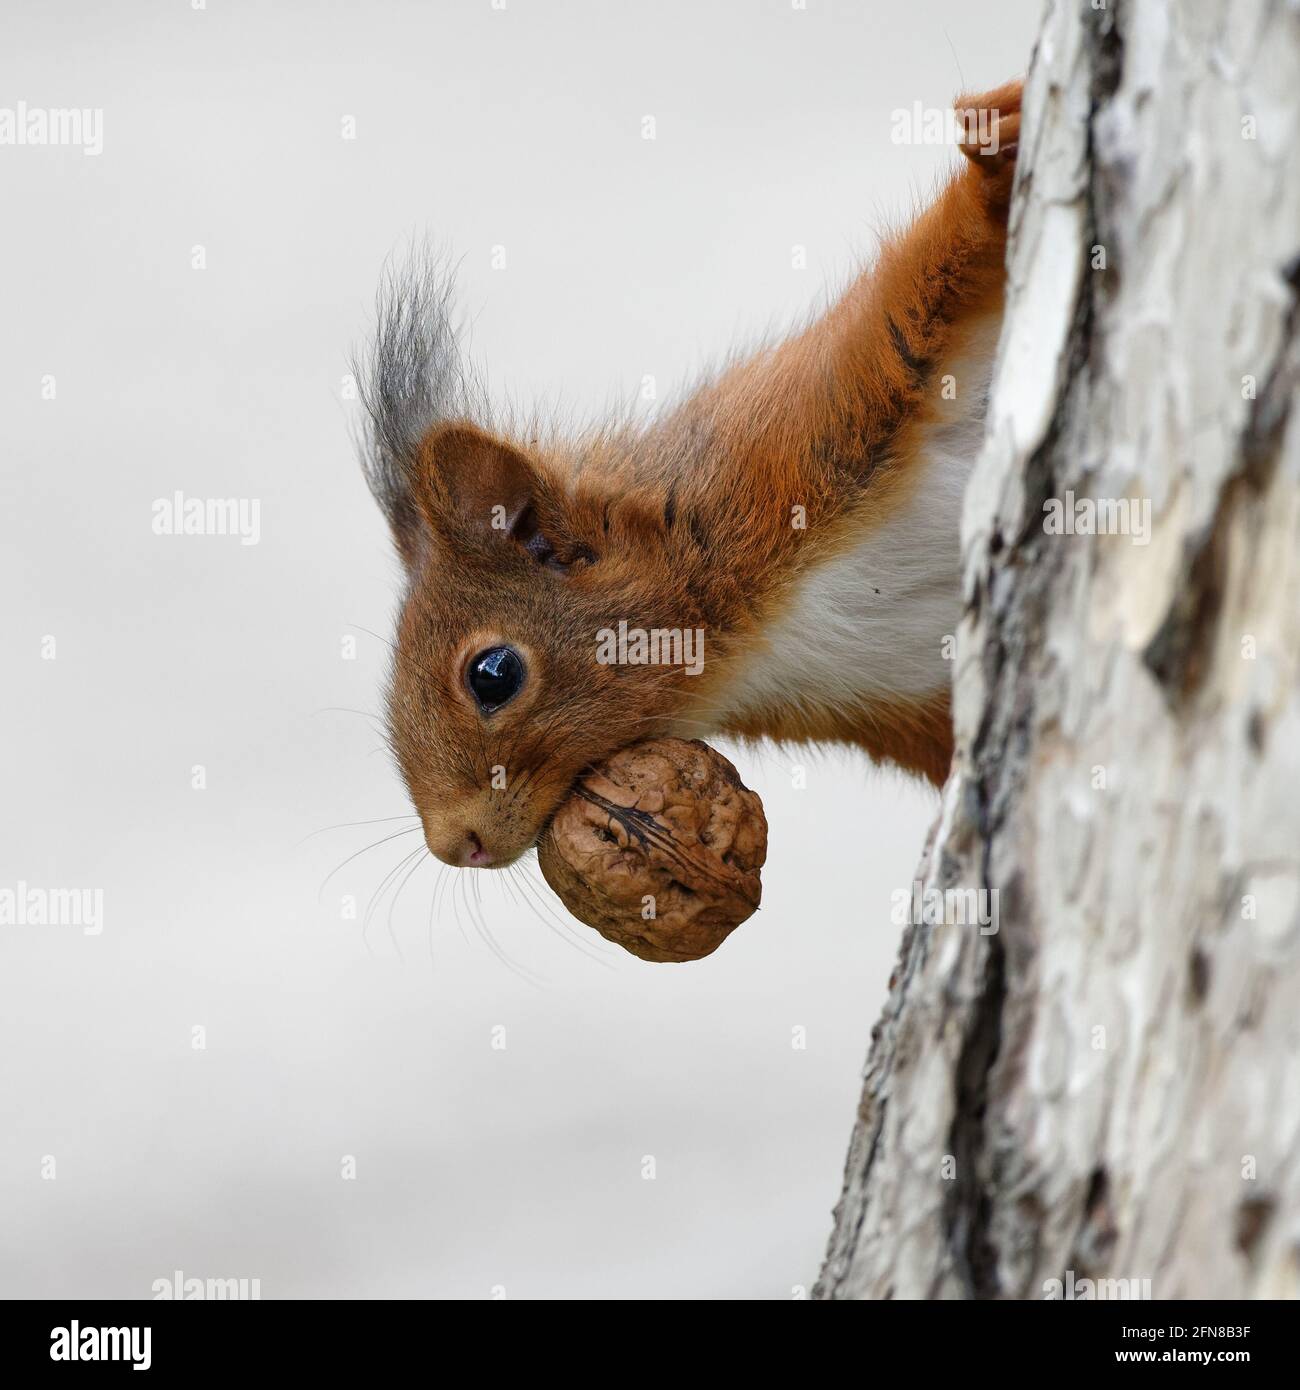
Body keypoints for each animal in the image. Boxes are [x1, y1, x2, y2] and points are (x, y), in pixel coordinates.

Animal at [358, 81, 1028, 867]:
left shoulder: (803, 435)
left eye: (494, 674)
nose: (456, 845)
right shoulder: (889, 702)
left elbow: (920, 292)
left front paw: (993, 155)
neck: (752, 644)